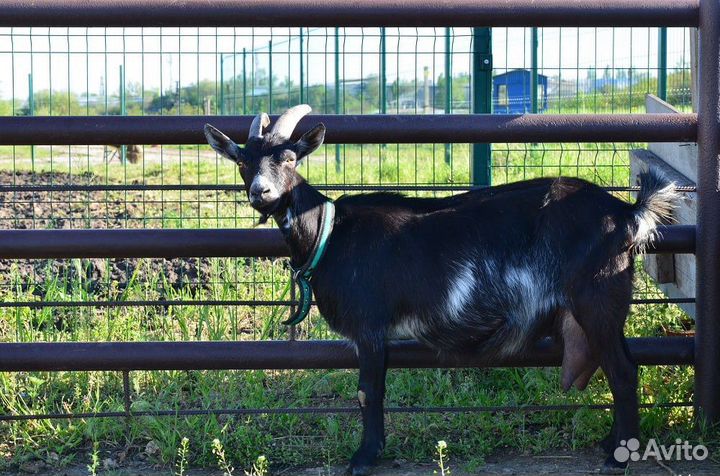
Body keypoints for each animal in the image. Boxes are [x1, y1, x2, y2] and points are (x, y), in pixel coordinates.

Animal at [204, 105, 679, 476]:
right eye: (242, 161)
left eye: (289, 158)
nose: (261, 192)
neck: (330, 230)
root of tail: (626, 213)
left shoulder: (370, 327)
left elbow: (368, 390)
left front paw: (364, 457)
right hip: (606, 306)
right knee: (621, 364)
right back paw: (611, 443)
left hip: (595, 297)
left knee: (623, 371)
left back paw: (618, 456)